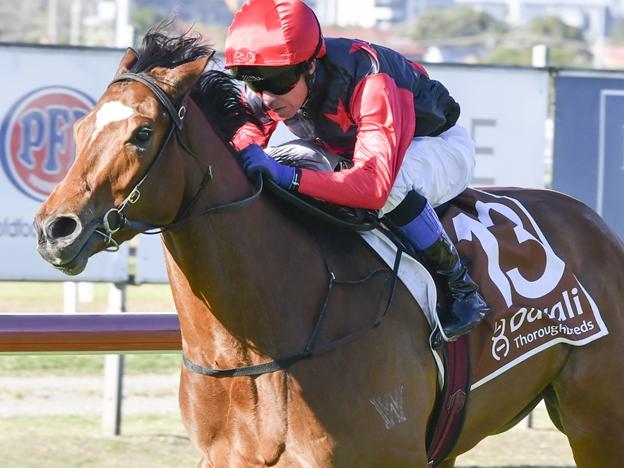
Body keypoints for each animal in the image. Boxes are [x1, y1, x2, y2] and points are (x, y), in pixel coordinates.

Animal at [33, 27, 624, 466]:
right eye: (80, 128)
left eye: (141, 134)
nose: (53, 229)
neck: (260, 342)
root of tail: (595, 223)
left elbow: (379, 180)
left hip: (596, 420)